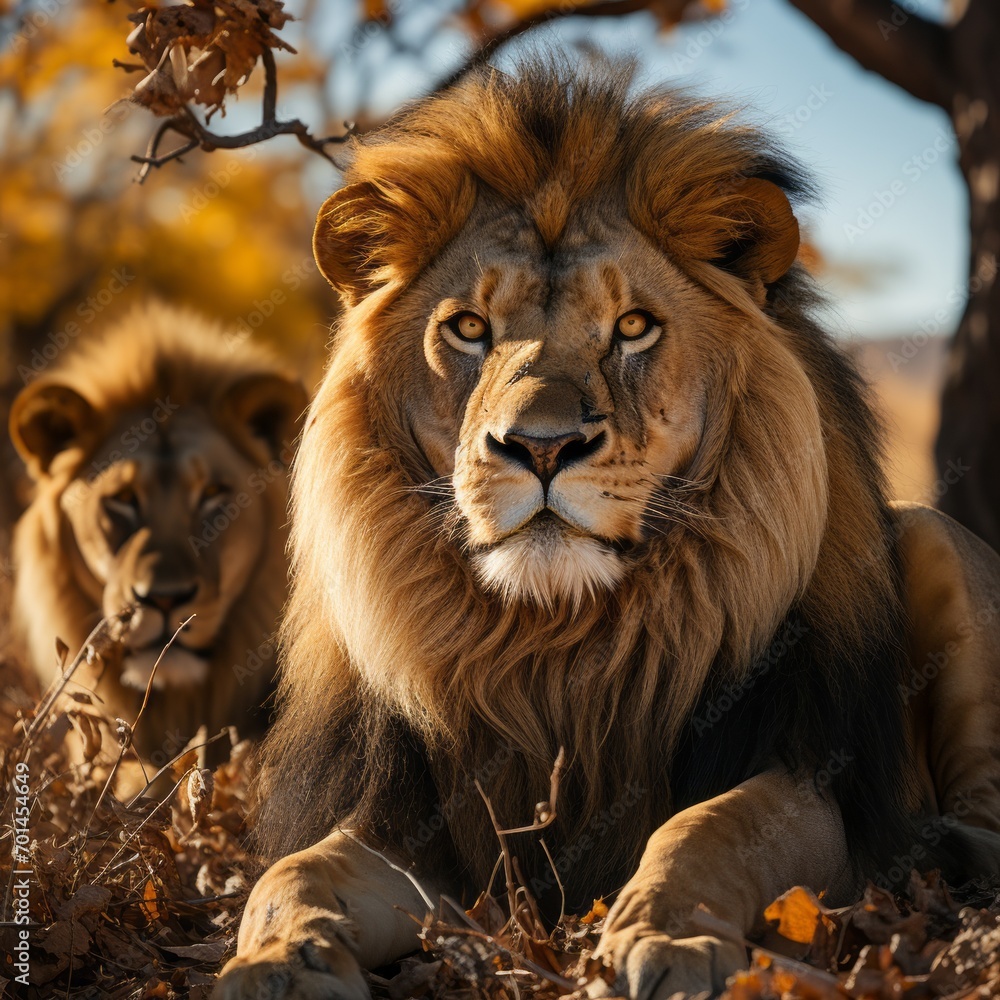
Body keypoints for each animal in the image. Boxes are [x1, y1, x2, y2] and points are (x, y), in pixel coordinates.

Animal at [215, 60, 1000, 999]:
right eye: (469, 329)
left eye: (633, 327)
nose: (541, 446)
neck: (559, 646)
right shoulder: (417, 826)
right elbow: (289, 875)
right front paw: (276, 960)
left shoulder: (809, 777)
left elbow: (707, 828)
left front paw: (665, 935)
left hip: (930, 536)